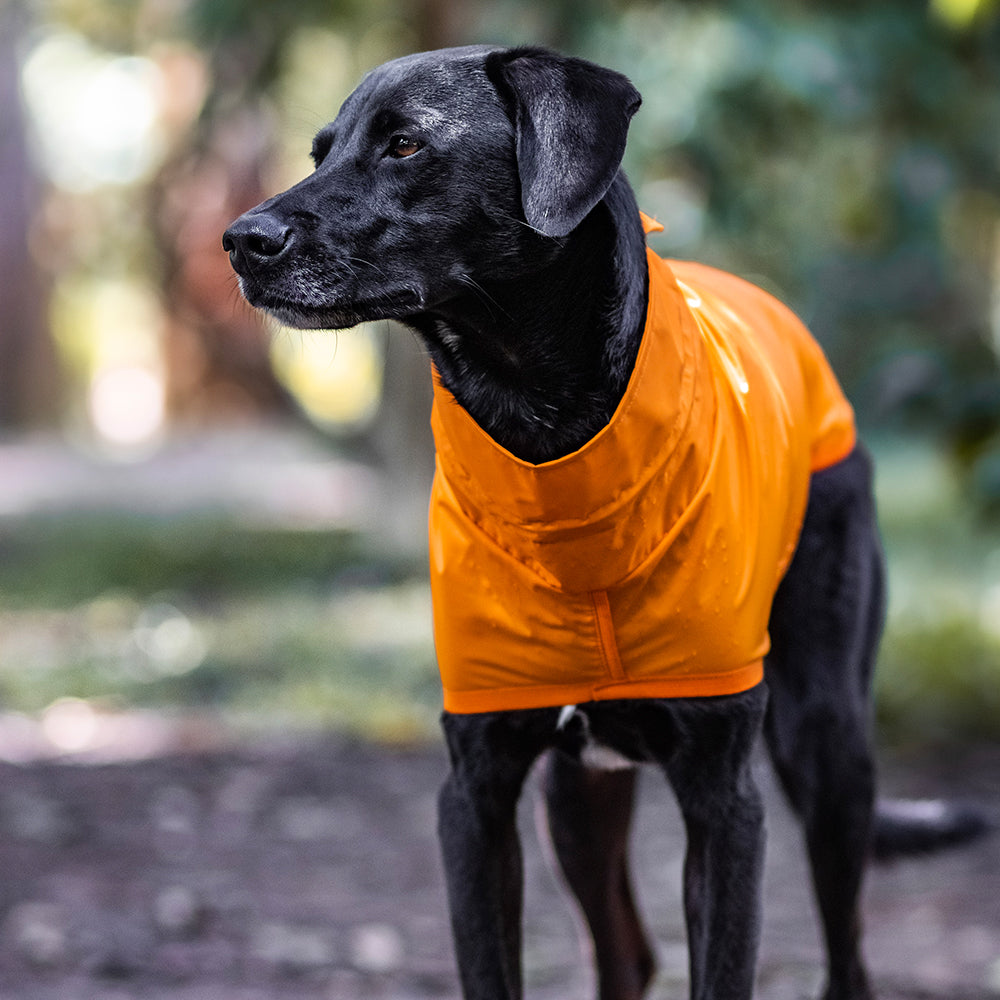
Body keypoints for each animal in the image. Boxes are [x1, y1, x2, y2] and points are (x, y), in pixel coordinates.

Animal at [223, 45, 988, 1000]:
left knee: (846, 957)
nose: (240, 241)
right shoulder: (476, 793)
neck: (548, 445)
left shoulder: (725, 804)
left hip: (830, 744)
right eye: (320, 151)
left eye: (404, 144)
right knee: (626, 951)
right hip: (577, 793)